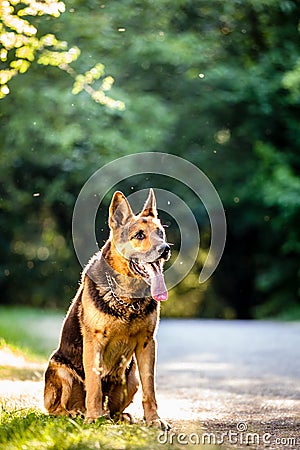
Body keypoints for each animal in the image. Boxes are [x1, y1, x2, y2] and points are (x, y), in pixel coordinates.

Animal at [44, 189, 171, 428]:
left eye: (160, 233)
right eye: (139, 235)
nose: (165, 249)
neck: (128, 297)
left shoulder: (147, 345)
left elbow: (150, 390)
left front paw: (154, 420)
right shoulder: (94, 343)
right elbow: (94, 386)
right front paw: (94, 418)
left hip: (132, 378)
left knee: (113, 409)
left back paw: (119, 416)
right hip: (62, 371)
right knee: (57, 409)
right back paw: (78, 413)